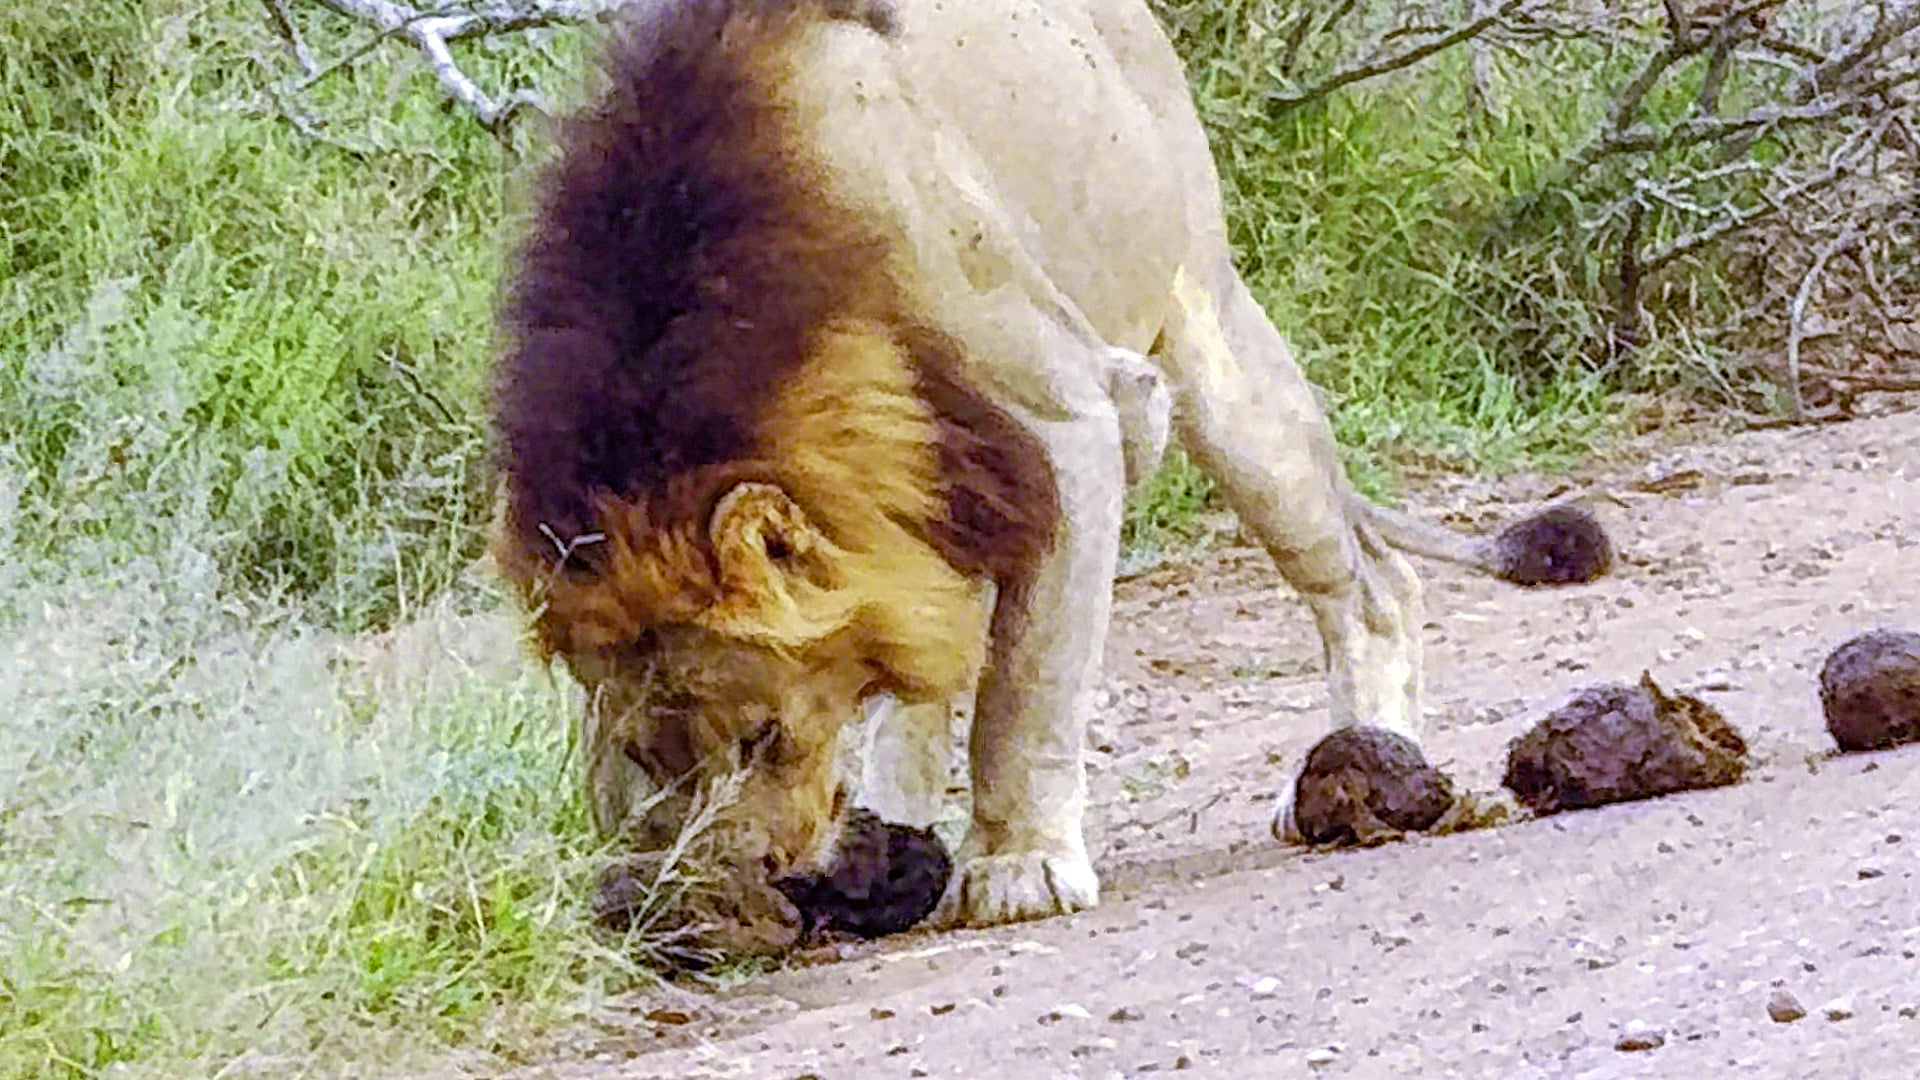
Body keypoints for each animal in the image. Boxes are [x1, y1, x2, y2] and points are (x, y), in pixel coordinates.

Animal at [489, 0, 1609, 953]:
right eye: (649, 753)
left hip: (1212, 354)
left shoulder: (1070, 417)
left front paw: (1019, 867)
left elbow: (1025, 689)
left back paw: (1368, 762)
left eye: (766, 734)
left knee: (1372, 580)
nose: (750, 877)